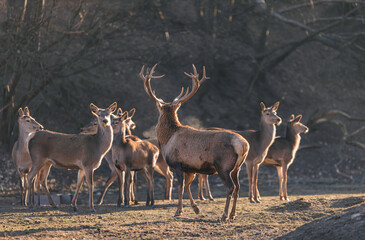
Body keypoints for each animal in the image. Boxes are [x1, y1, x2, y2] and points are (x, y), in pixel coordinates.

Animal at [140, 63, 250, 221]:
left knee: (231, 187)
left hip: (223, 166)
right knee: (238, 187)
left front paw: (178, 211)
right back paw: (233, 214)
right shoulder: (190, 168)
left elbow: (180, 187)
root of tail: (243, 145)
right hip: (237, 168)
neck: (167, 140)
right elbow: (187, 186)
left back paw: (224, 215)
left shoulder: (177, 164)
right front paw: (196, 209)